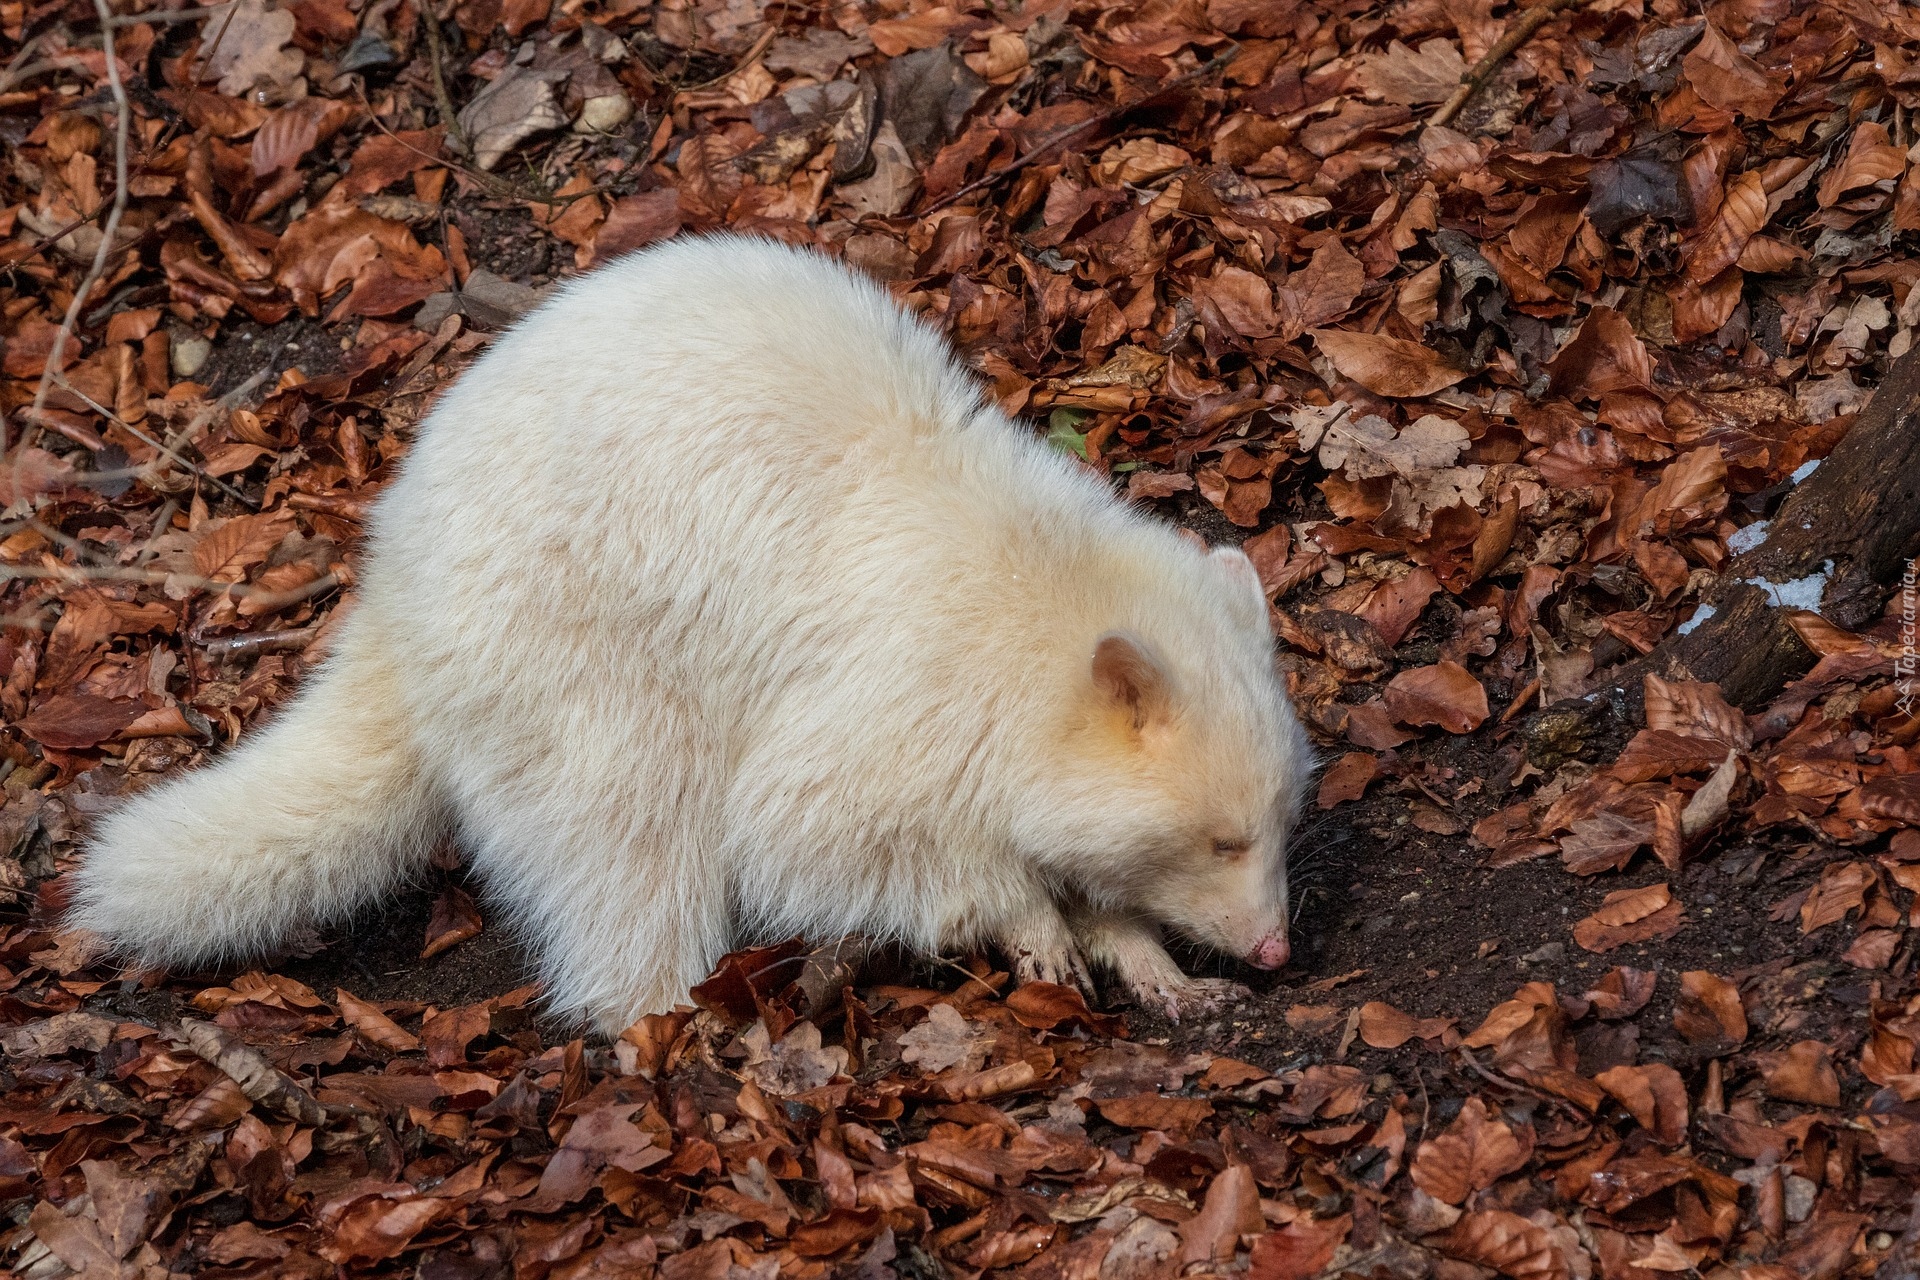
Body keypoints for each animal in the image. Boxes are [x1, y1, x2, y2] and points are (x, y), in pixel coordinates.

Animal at [67, 233, 1313, 1028]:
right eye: (1221, 838)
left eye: (1274, 820)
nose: (1276, 947)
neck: (1045, 581)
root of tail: (390, 588)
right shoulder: (892, 691)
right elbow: (812, 833)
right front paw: (1028, 914)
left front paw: (1138, 947)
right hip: (566, 654)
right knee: (630, 834)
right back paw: (664, 1014)